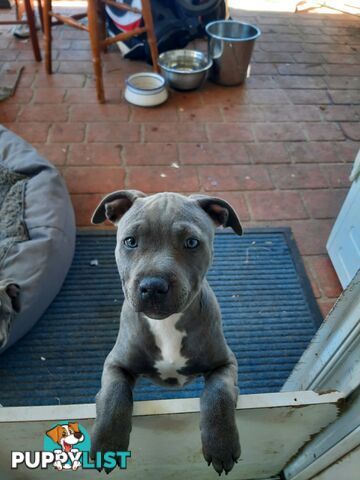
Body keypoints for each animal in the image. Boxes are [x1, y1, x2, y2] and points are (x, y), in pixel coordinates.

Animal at [90, 191, 242, 476]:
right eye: (130, 241)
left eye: (192, 242)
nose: (152, 286)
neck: (166, 324)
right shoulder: (115, 363)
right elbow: (115, 395)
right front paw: (107, 443)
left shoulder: (225, 363)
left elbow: (218, 394)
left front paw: (221, 444)